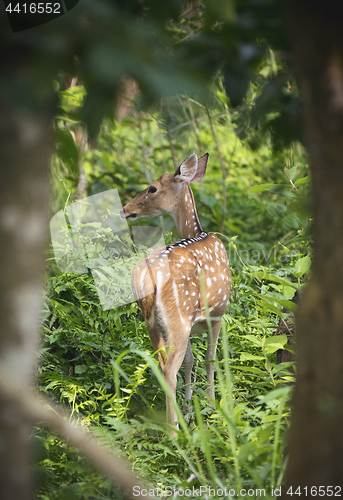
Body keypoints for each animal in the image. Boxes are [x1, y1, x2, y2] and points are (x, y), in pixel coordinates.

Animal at [121, 153, 231, 426]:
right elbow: (210, 358)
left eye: (152, 188)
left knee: (161, 365)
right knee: (170, 368)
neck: (198, 232)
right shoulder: (218, 314)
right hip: (178, 317)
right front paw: (211, 406)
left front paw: (190, 407)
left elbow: (191, 360)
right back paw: (174, 429)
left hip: (154, 322)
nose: (125, 209)